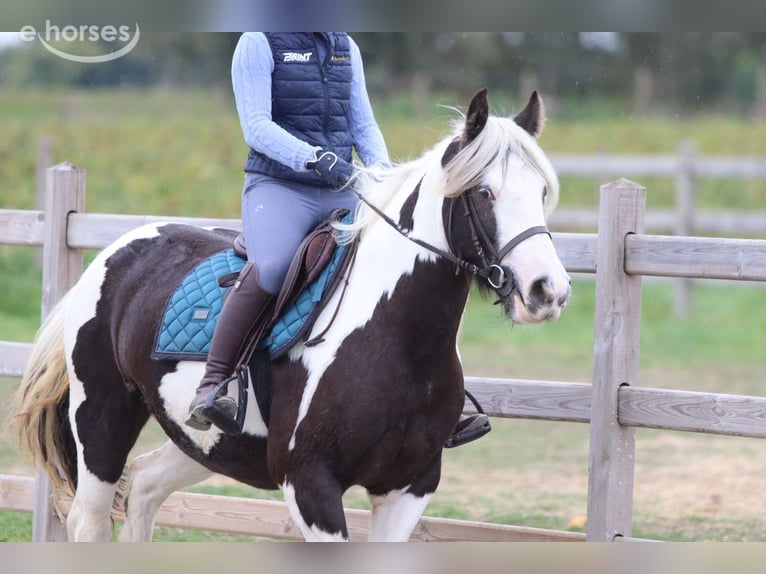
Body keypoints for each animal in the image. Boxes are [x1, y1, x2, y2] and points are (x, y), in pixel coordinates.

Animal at [9, 88, 571, 542]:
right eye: (484, 192)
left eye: (542, 192)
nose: (548, 290)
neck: (394, 339)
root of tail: (118, 250)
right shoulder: (310, 485)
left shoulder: (409, 487)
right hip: (102, 423)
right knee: (90, 518)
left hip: (208, 443)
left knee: (144, 487)